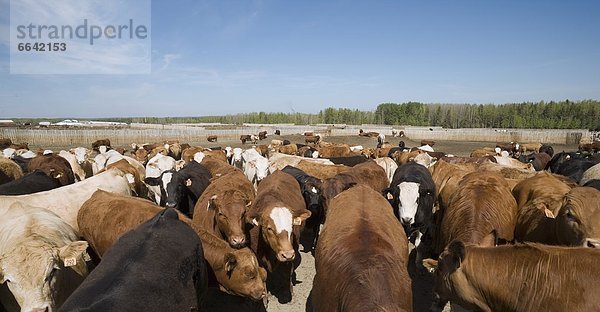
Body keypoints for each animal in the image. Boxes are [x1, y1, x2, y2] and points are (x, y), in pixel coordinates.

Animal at [246, 169, 310, 304]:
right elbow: (263, 273)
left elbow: (287, 271)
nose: (287, 254)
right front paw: (264, 297)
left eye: (292, 225)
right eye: (269, 228)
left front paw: (288, 292)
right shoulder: (257, 254)